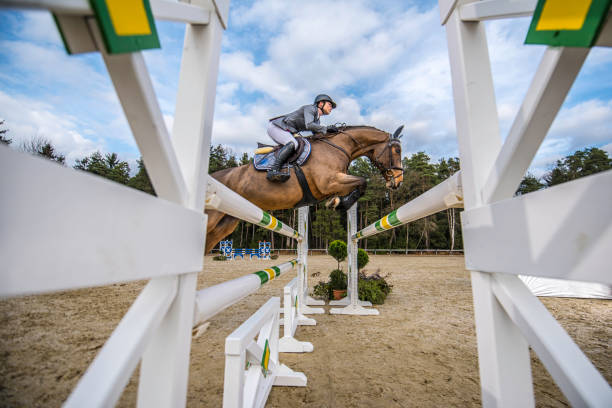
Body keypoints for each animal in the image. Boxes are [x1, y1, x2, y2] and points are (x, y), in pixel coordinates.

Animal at [207, 125, 406, 252]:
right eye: (397, 151)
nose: (397, 182)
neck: (338, 147)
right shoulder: (328, 182)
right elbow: (363, 181)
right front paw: (341, 203)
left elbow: (357, 184)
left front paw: (335, 201)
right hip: (212, 216)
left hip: (226, 224)